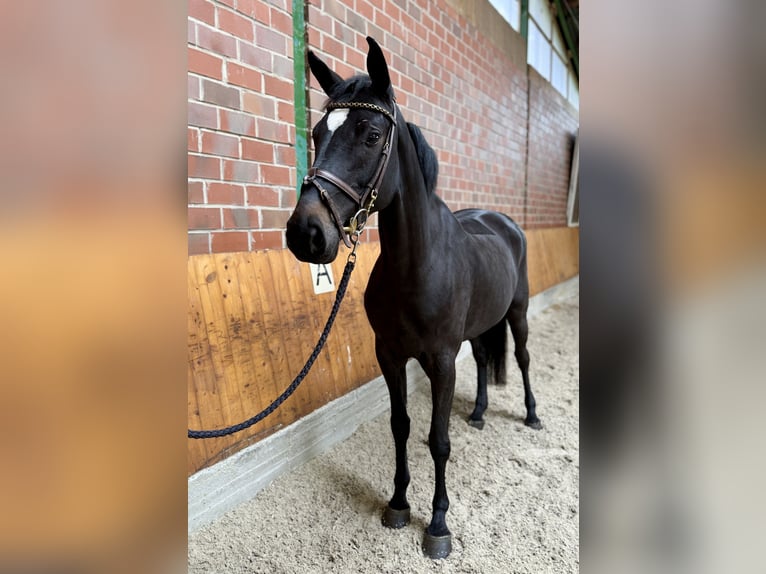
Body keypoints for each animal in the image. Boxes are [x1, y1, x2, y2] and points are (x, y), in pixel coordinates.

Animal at [285, 37, 541, 560]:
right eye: (317, 133)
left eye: (370, 135)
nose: (306, 233)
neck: (416, 267)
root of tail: (503, 221)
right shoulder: (390, 355)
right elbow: (401, 426)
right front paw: (399, 503)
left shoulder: (440, 360)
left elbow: (438, 440)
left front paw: (438, 525)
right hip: (479, 328)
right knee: (482, 359)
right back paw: (479, 413)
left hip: (518, 313)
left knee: (523, 359)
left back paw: (530, 415)